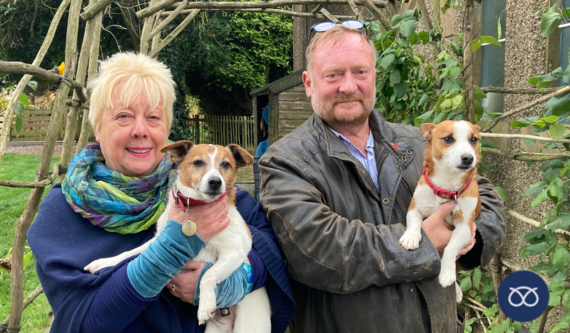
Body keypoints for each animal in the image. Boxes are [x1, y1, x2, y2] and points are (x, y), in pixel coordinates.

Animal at [84, 140, 270, 332]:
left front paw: (205, 304)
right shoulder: (157, 241)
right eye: (198, 162)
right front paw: (103, 262)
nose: (215, 182)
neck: (196, 206)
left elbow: (207, 275)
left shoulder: (235, 251)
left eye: (226, 164)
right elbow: (129, 253)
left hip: (248, 326)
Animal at [400, 120, 480, 302]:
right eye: (448, 138)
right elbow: (414, 222)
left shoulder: (465, 228)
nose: (468, 158)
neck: (447, 186)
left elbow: (451, 247)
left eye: (474, 139)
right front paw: (410, 236)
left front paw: (446, 273)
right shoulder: (415, 208)